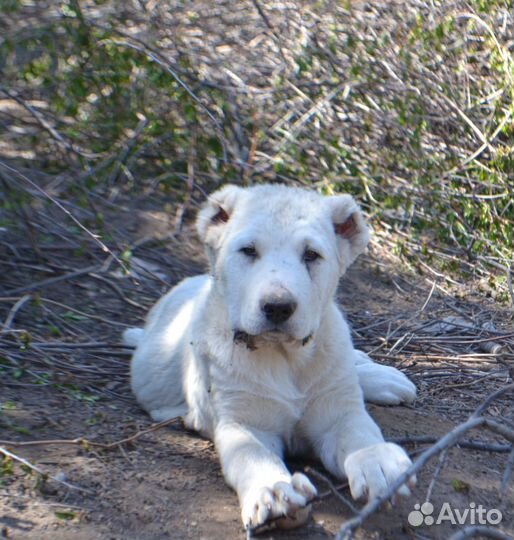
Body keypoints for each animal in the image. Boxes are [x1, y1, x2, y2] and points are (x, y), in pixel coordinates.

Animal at [125, 184, 416, 528]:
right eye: (248, 251)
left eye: (311, 255)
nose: (278, 307)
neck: (285, 357)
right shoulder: (244, 423)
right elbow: (253, 456)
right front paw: (275, 492)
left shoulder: (337, 414)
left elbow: (360, 433)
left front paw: (377, 461)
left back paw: (383, 378)